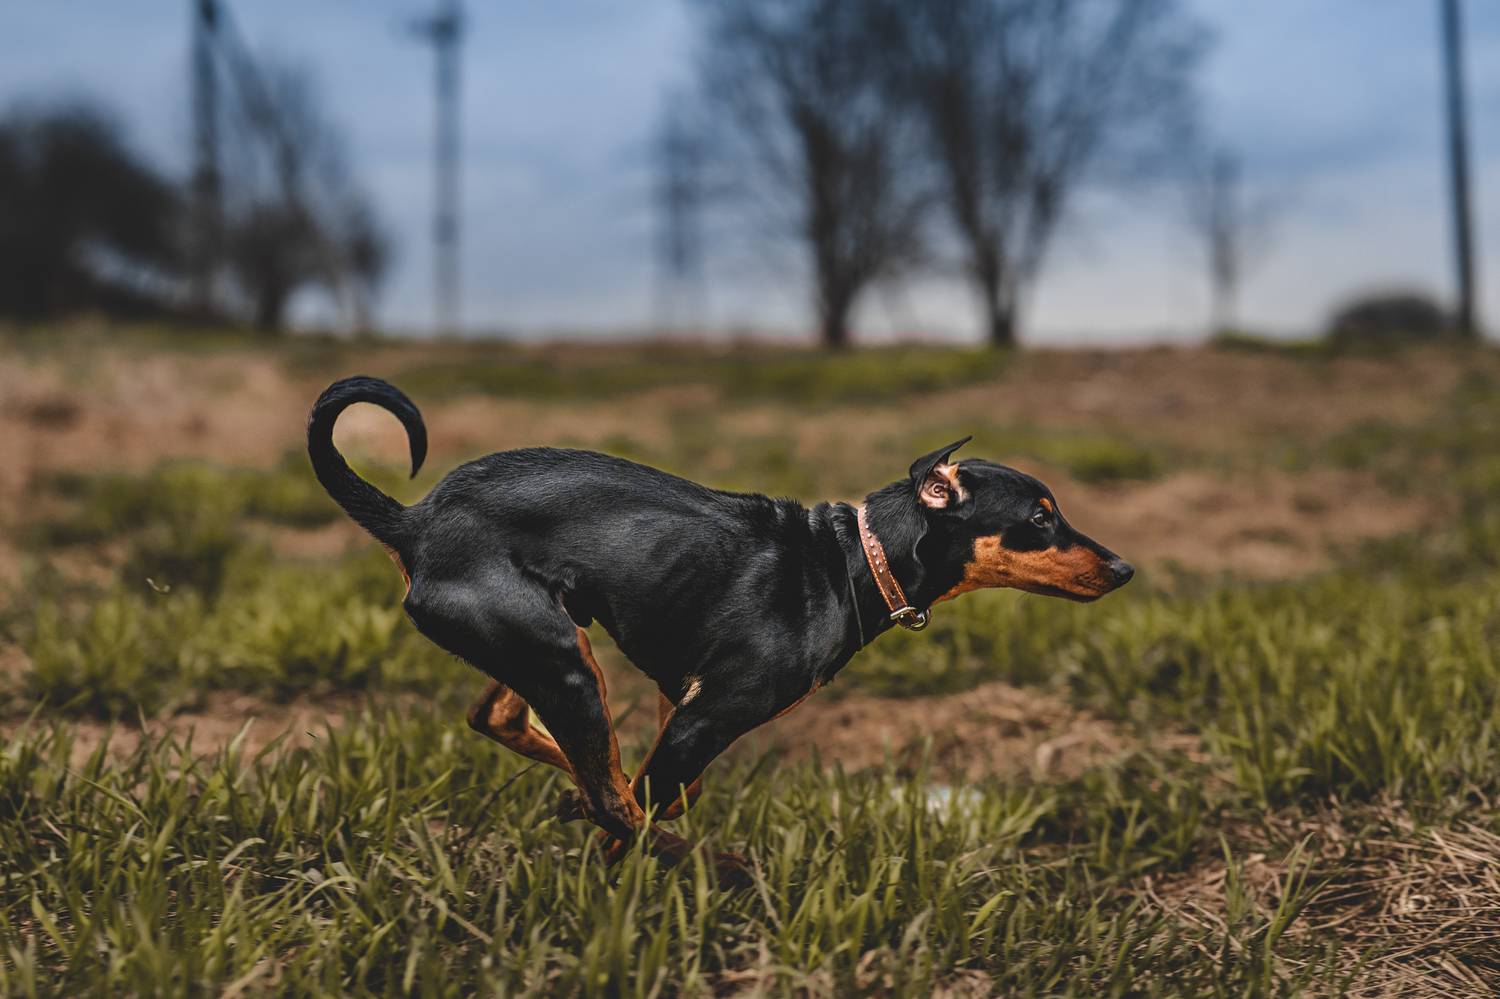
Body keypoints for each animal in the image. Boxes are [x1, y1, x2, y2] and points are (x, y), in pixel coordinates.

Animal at [308, 375, 1133, 882]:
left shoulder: (680, 700)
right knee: (610, 797)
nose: (1124, 567)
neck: (852, 559)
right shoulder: (707, 715)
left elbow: (668, 789)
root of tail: (413, 520)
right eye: (1039, 519)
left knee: (509, 721)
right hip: (563, 662)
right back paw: (716, 864)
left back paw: (583, 787)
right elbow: (637, 808)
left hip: (551, 642)